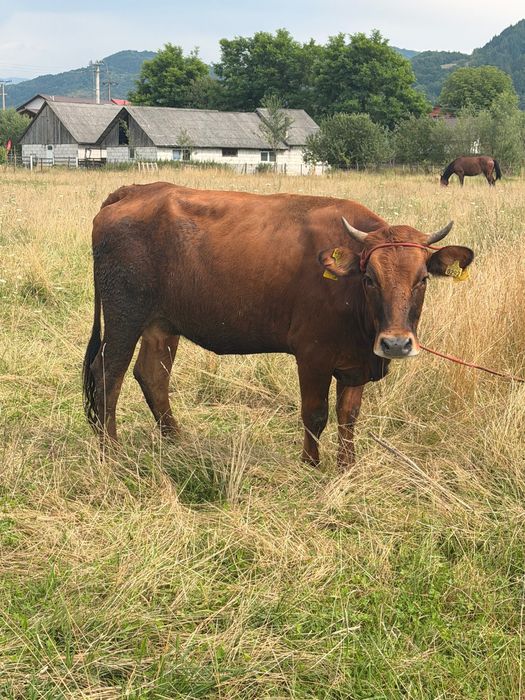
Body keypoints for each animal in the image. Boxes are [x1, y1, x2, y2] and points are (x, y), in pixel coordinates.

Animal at [83, 182, 474, 469]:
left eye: (423, 279)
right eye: (370, 279)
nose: (395, 344)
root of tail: (136, 190)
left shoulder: (355, 363)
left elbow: (348, 415)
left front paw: (346, 467)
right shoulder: (313, 355)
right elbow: (315, 414)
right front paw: (311, 466)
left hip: (162, 324)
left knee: (152, 376)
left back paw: (176, 441)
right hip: (124, 318)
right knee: (108, 376)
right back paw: (111, 452)